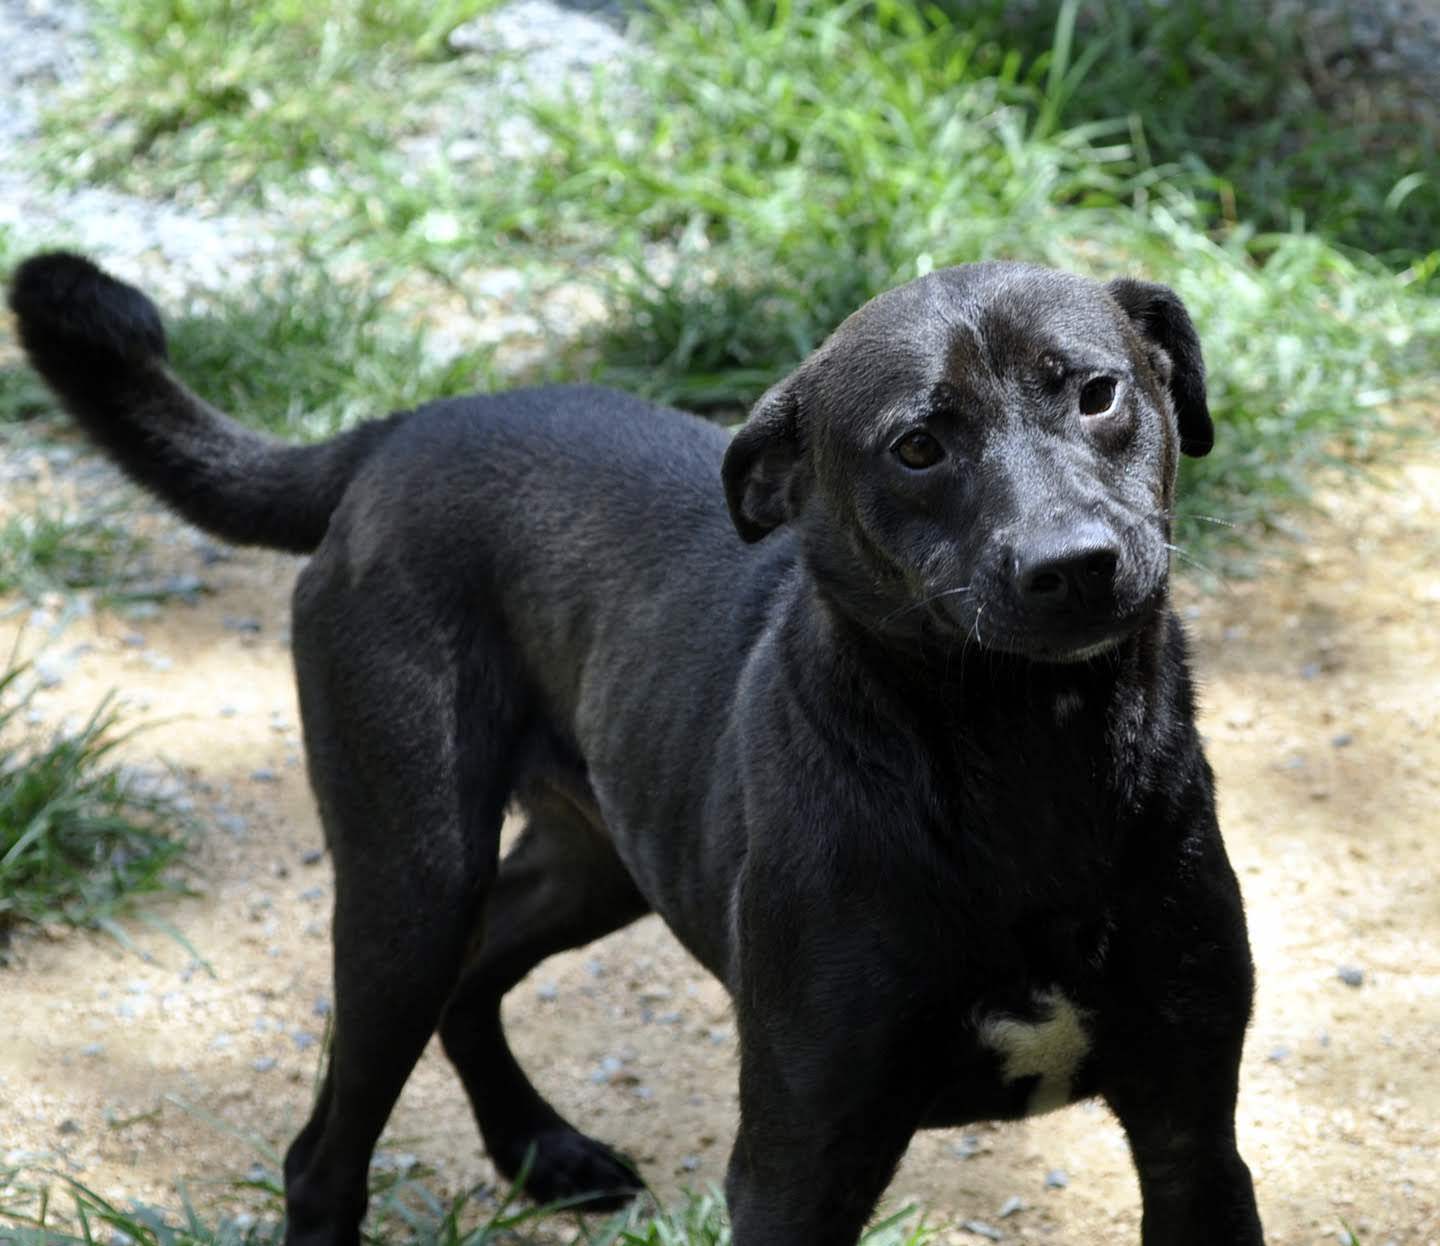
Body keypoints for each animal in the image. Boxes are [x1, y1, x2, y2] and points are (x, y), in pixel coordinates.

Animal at [14, 254, 1272, 1244]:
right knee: (324, 1152)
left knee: (478, 974)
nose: (1074, 565)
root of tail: (395, 431)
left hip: (598, 858)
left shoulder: (1192, 1134)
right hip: (410, 880)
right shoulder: (800, 1158)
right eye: (918, 446)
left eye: (1100, 393)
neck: (1028, 764)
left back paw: (540, 1148)